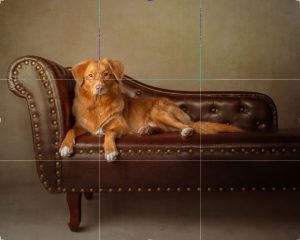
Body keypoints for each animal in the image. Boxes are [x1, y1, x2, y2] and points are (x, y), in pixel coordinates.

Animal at [59, 59, 241, 162]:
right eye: (90, 76)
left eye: (106, 74)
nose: (99, 88)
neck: (98, 104)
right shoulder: (82, 126)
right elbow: (70, 130)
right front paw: (65, 146)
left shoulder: (121, 126)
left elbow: (109, 132)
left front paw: (110, 151)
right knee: (165, 128)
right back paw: (147, 130)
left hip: (159, 111)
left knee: (183, 126)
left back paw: (186, 131)